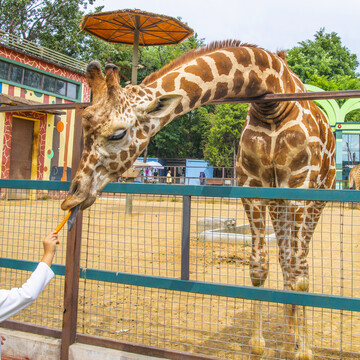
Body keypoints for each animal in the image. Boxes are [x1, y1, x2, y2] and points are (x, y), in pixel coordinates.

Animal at [61, 40, 334, 358]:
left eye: (118, 134)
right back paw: (290, 338)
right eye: (85, 128)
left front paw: (304, 351)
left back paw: (297, 343)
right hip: (279, 204)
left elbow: (300, 273)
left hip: (317, 197)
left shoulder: (301, 187)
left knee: (297, 264)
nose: (73, 197)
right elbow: (259, 268)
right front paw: (259, 345)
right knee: (285, 260)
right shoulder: (254, 188)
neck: (272, 103)